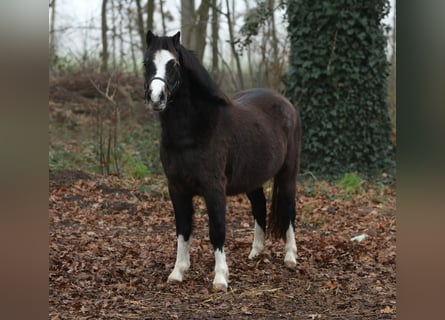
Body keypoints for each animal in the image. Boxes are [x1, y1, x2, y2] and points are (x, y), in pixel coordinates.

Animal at [144, 31, 300, 292]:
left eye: (173, 64)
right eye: (147, 62)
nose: (156, 98)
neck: (192, 131)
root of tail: (286, 103)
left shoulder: (214, 188)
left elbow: (217, 230)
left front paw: (220, 278)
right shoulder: (176, 188)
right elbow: (182, 229)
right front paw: (178, 272)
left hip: (288, 173)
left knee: (288, 209)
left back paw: (290, 256)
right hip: (252, 179)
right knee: (260, 207)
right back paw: (256, 253)